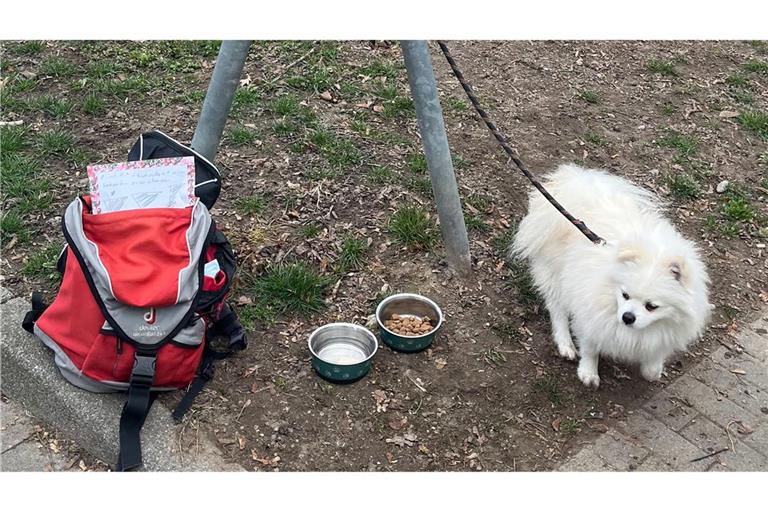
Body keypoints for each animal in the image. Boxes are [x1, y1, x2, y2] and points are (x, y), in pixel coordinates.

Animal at [512, 164, 712, 388]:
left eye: (652, 306)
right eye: (625, 295)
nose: (627, 317)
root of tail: (577, 187)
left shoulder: (666, 331)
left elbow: (654, 358)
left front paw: (653, 369)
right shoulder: (591, 315)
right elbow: (590, 347)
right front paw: (589, 373)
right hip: (556, 274)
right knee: (558, 310)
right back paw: (565, 344)